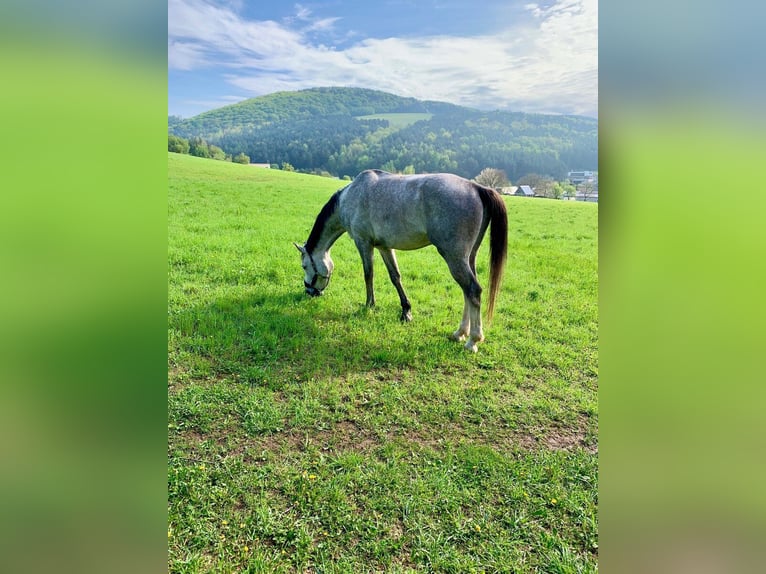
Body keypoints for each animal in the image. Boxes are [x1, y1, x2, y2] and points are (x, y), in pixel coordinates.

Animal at [294, 169, 507, 352]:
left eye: (304, 266)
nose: (309, 292)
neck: (350, 196)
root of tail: (476, 187)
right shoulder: (384, 247)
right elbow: (395, 277)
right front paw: (406, 312)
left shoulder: (363, 243)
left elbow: (368, 275)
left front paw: (369, 305)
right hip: (468, 257)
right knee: (467, 293)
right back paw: (460, 333)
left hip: (454, 258)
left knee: (473, 291)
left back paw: (473, 340)